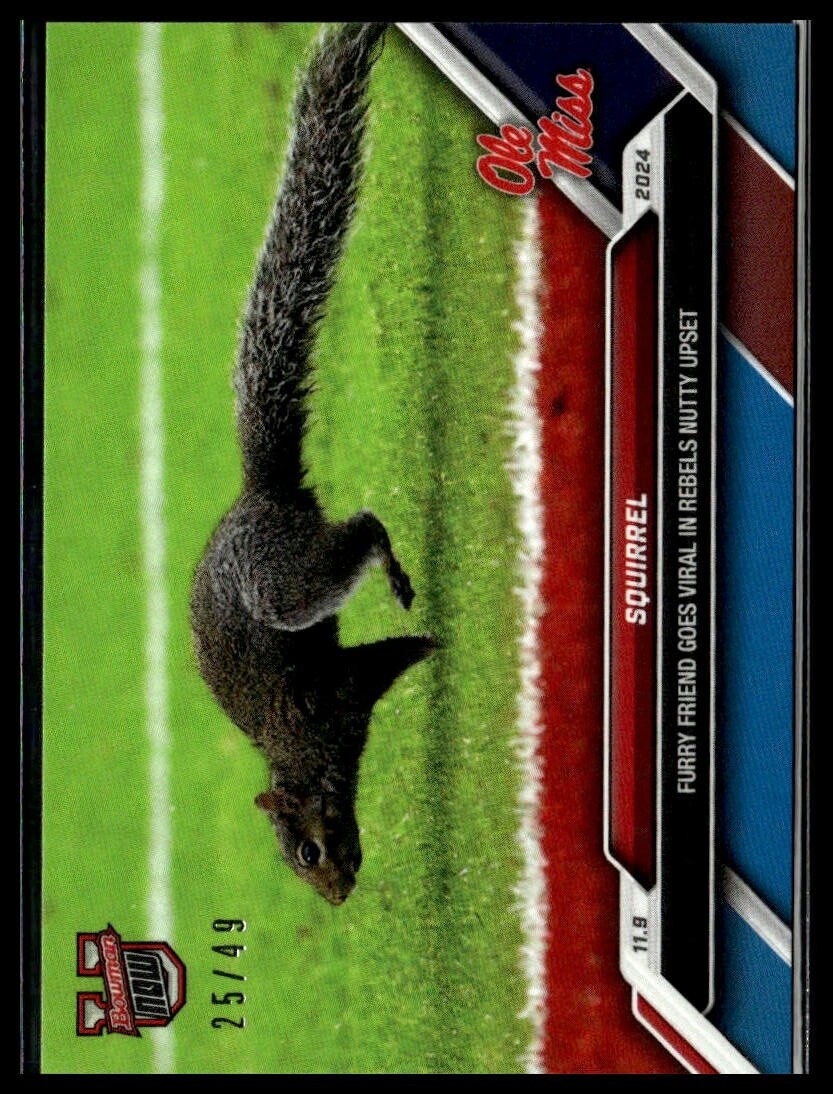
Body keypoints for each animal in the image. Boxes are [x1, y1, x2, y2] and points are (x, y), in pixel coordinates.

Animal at [190, 22, 434, 906]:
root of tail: (259, 498)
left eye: (304, 848)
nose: (333, 898)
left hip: (285, 585)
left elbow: (393, 659)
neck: (300, 752)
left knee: (358, 529)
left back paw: (392, 567)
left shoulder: (333, 698)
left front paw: (436, 648)